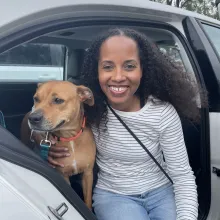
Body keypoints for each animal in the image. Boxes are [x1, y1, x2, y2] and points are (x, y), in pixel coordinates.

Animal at [20, 80, 95, 208]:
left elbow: (88, 199)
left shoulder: (88, 174)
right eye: (36, 98)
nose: (33, 118)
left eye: (58, 100)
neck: (70, 138)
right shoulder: (63, 176)